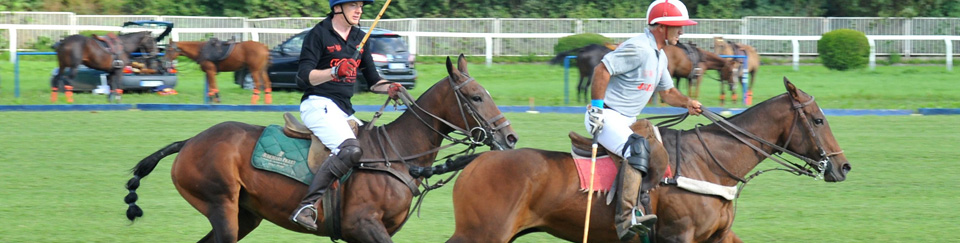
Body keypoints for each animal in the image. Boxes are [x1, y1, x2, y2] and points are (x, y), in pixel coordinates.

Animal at [124, 54, 520, 243]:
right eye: (475, 96)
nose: (511, 138)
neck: (398, 154)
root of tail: (189, 142)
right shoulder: (363, 225)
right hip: (220, 204)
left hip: (245, 214)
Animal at [446, 78, 852, 243]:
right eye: (818, 120)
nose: (843, 166)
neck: (710, 164)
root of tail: (475, 164)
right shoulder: (678, 235)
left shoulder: (719, 235)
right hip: (482, 232)